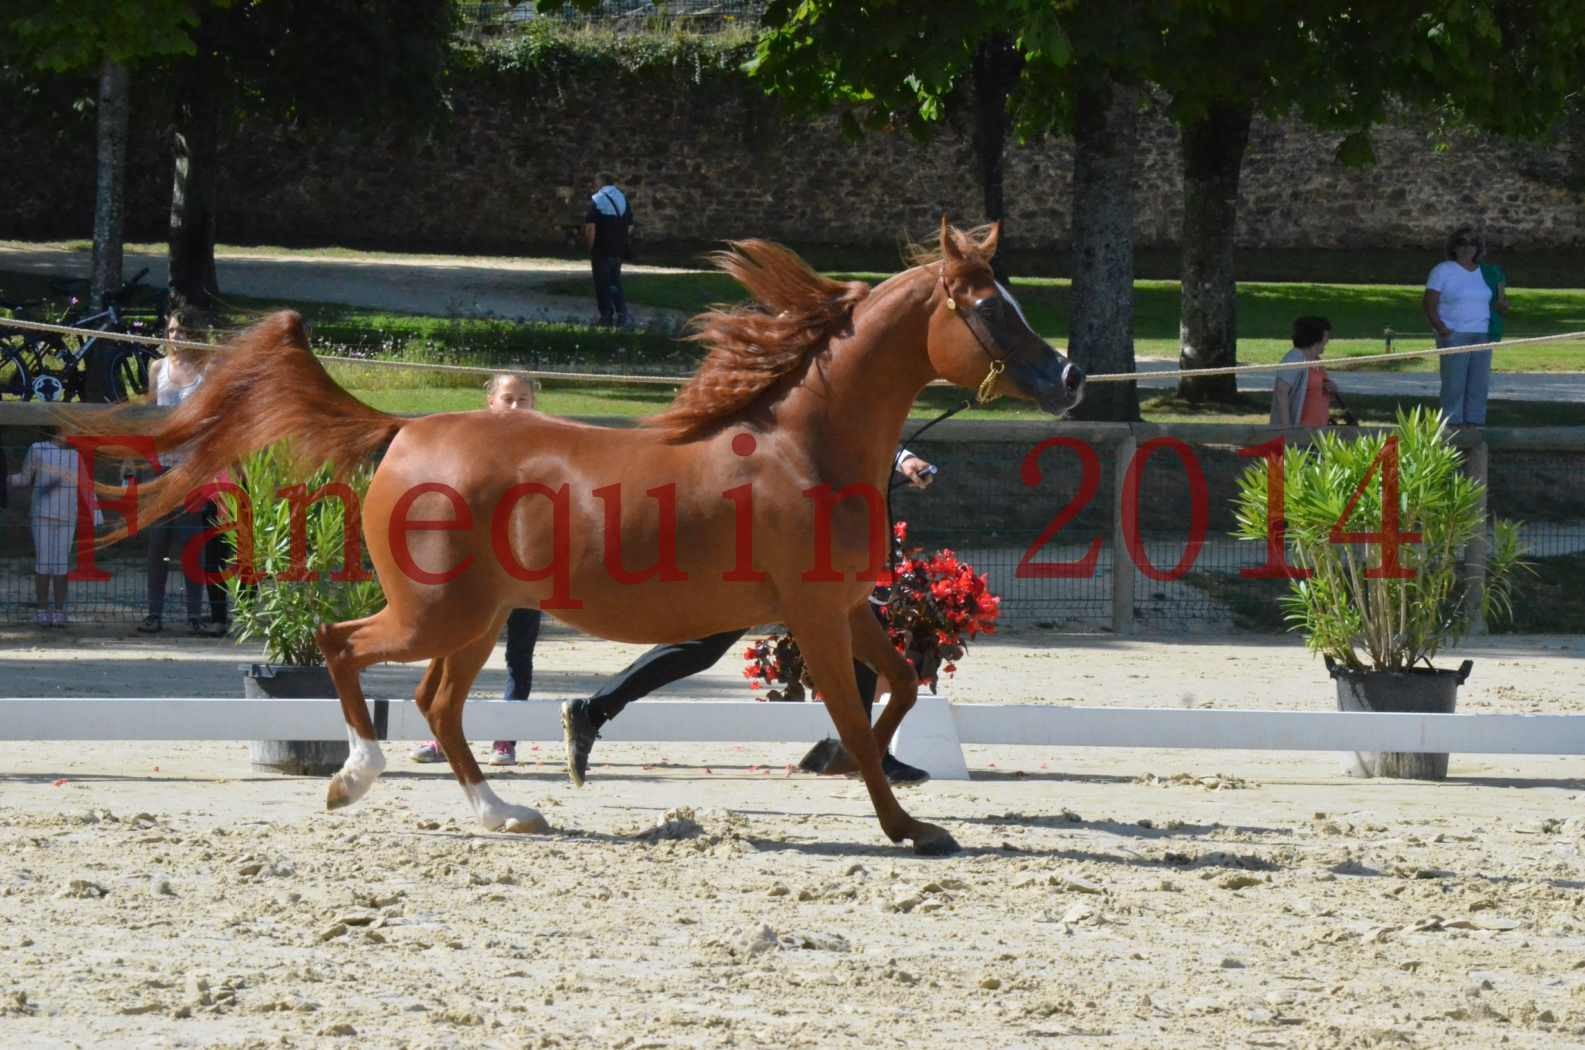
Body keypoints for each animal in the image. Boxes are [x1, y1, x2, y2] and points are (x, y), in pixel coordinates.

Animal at [99, 222, 1084, 856]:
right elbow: (852, 707)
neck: (806, 444)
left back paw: (505, 814)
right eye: (990, 308)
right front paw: (905, 827)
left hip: (479, 619)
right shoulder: (810, 614)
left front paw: (867, 781)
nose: (1070, 378)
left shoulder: (842, 607)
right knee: (346, 649)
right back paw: (355, 777)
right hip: (436, 611)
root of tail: (405, 429)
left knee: (437, 704)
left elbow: (903, 690)